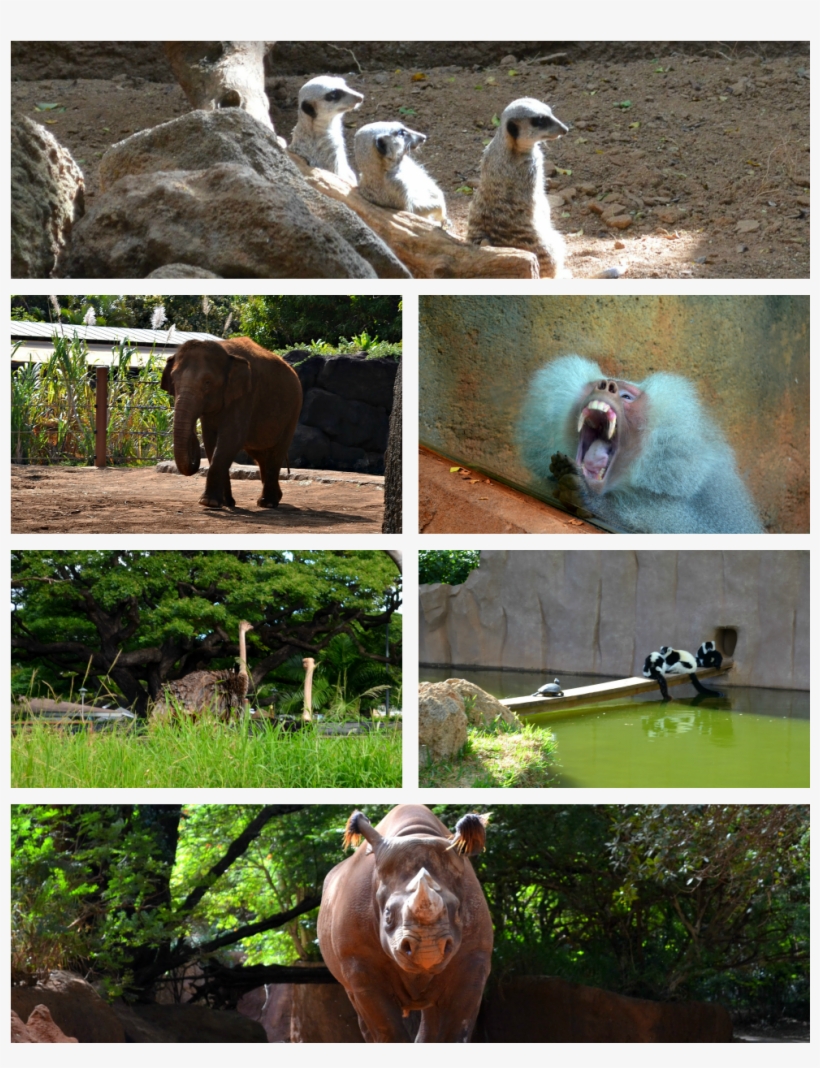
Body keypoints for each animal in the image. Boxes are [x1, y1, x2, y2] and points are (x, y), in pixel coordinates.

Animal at [161, 336, 303, 509]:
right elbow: (211, 441)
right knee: (261, 455)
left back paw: (267, 503)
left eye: (207, 382)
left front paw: (208, 502)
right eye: (174, 380)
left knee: (275, 453)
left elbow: (230, 439)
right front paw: (224, 503)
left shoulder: (245, 395)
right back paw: (274, 498)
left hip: (293, 411)